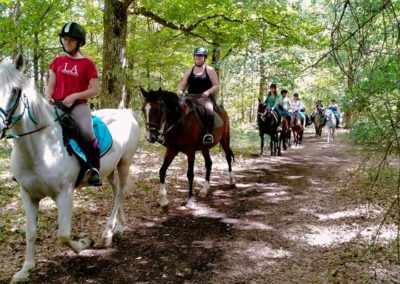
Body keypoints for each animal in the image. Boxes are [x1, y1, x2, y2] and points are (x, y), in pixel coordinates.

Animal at [0, 55, 141, 284]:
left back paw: (106, 234)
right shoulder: (27, 194)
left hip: (125, 163)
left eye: (15, 90)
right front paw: (25, 269)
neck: (40, 148)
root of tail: (127, 114)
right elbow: (30, 231)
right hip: (110, 170)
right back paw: (118, 228)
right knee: (117, 192)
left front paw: (84, 243)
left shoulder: (64, 194)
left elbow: (64, 235)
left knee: (121, 192)